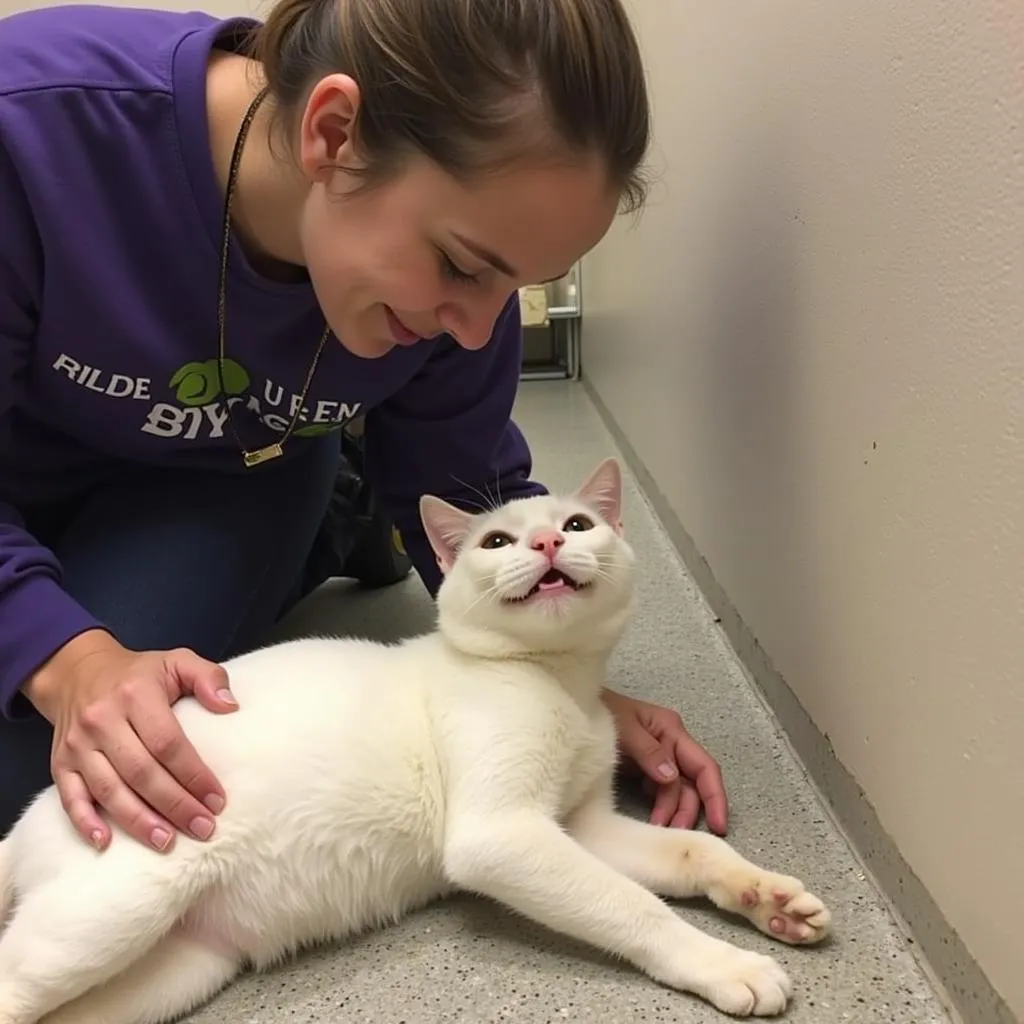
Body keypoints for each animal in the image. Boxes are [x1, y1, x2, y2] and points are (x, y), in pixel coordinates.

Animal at [0, 460, 827, 1019]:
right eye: (497, 540)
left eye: (579, 526)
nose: (548, 542)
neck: (558, 681)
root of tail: (34, 813)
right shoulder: (503, 835)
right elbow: (631, 905)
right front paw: (723, 960)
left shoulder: (581, 827)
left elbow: (695, 851)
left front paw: (769, 898)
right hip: (113, 913)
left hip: (169, 971)